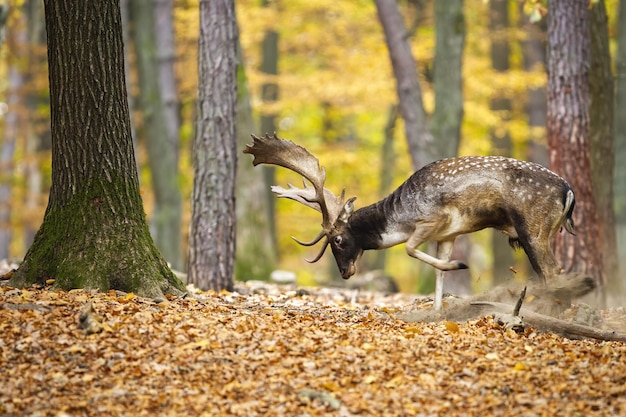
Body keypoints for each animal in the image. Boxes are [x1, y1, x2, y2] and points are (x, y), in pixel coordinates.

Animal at [241, 133, 572, 308]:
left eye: (339, 239)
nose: (346, 273)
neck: (401, 216)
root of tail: (569, 191)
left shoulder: (431, 220)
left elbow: (410, 249)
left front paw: (459, 265)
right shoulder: (448, 235)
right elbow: (438, 274)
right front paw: (438, 310)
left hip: (533, 227)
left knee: (553, 270)